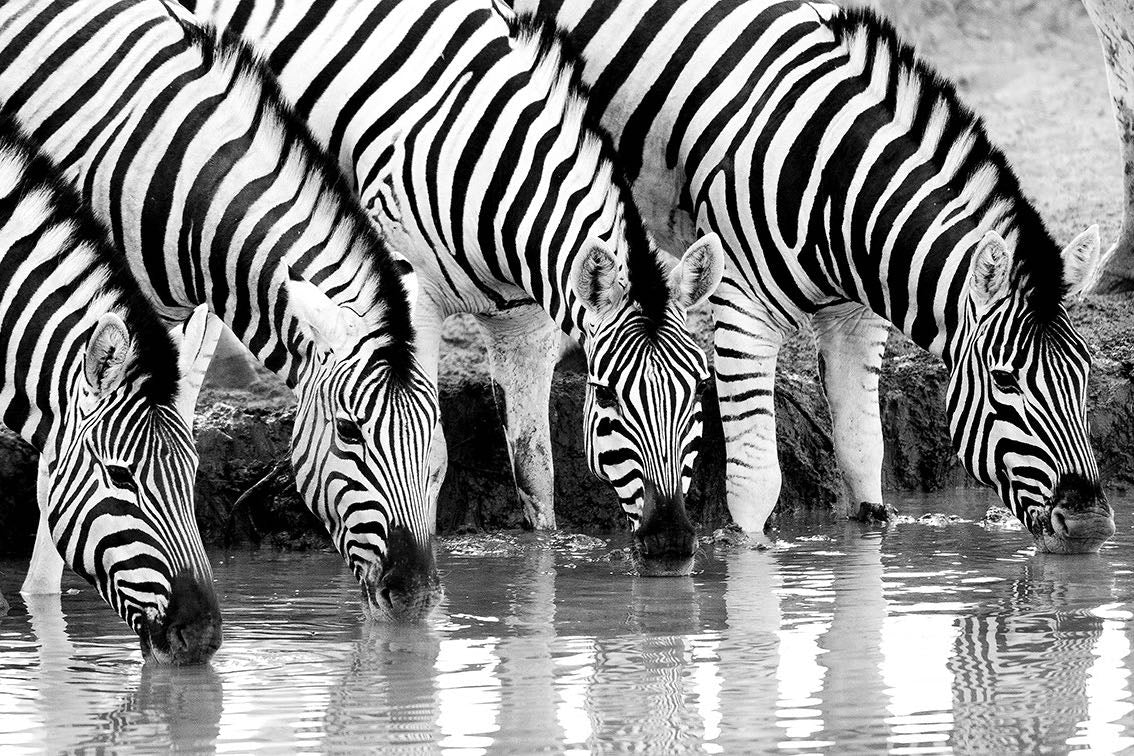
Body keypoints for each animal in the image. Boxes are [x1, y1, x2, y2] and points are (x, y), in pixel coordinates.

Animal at [178, 0, 725, 575]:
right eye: (605, 395)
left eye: (700, 389)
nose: (671, 544)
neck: (501, 171)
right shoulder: (405, 302)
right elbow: (429, 453)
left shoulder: (523, 323)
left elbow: (535, 465)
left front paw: (540, 565)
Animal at [500, 1, 1113, 554]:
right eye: (1006, 382)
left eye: (1085, 373)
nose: (1090, 527)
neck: (836, 179)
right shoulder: (743, 312)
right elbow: (754, 482)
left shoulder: (857, 317)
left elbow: (863, 455)